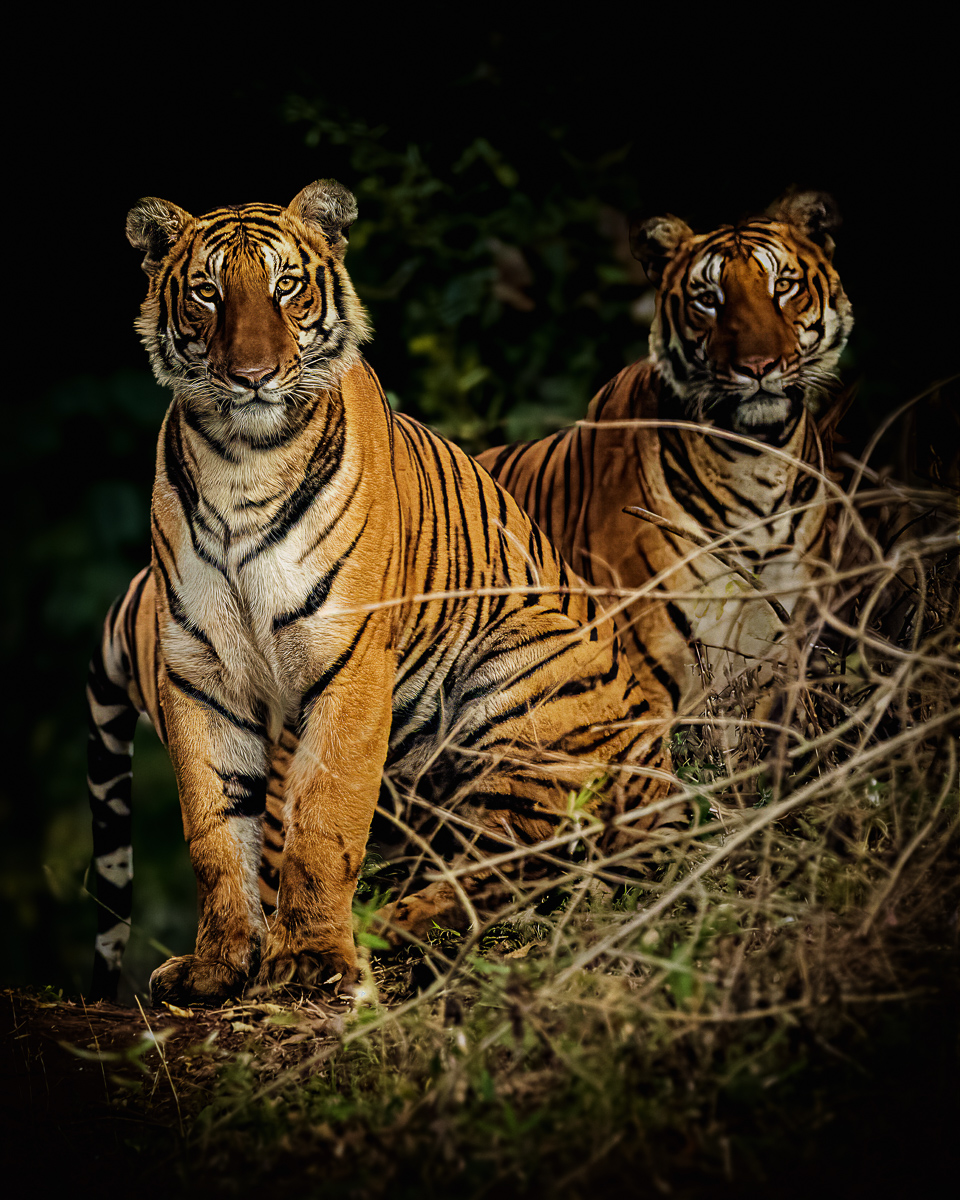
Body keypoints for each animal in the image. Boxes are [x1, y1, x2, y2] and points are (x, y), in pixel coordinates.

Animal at [86, 179, 672, 1006]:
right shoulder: (201, 674)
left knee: (526, 861)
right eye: (207, 292)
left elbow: (323, 817)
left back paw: (387, 929)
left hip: (524, 672)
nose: (252, 375)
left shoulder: (350, 660)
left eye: (285, 286)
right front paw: (218, 964)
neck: (242, 458)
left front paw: (310, 958)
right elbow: (215, 831)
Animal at [477, 191, 854, 740]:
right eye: (708, 299)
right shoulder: (643, 672)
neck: (758, 463)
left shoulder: (772, 663)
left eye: (783, 286)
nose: (758, 366)